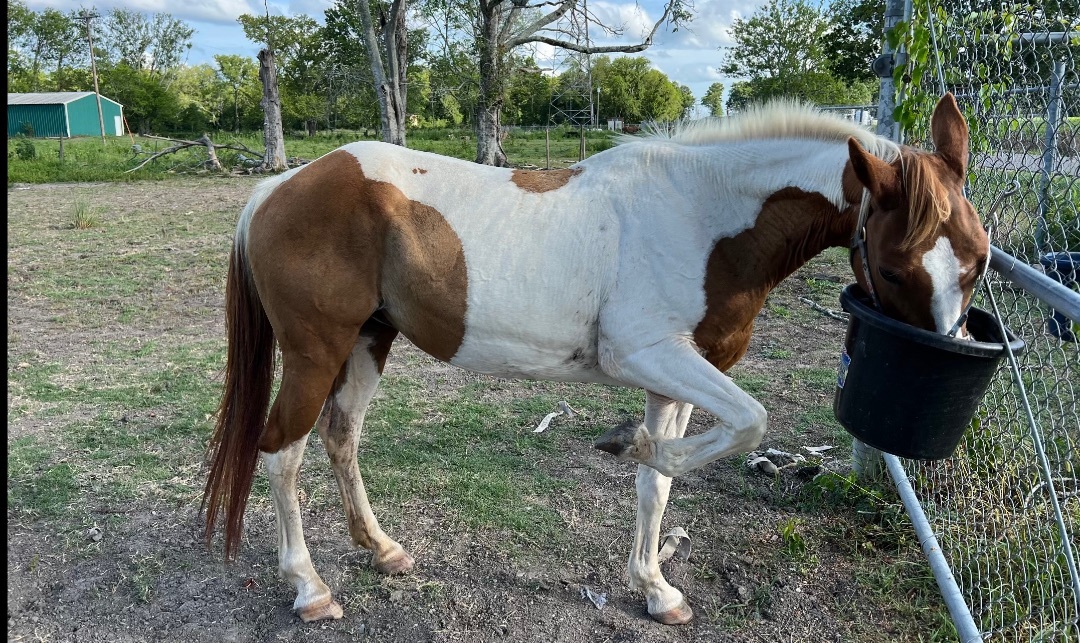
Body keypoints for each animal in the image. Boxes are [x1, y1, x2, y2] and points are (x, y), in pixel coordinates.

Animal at [202, 93, 989, 625]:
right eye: (894, 269)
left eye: (978, 261)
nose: (942, 362)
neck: (701, 217)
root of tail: (278, 188)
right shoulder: (652, 356)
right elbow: (749, 423)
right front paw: (624, 444)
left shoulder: (674, 378)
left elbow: (659, 485)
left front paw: (656, 587)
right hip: (315, 353)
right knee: (283, 453)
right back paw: (310, 587)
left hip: (370, 341)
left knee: (342, 437)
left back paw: (383, 549)